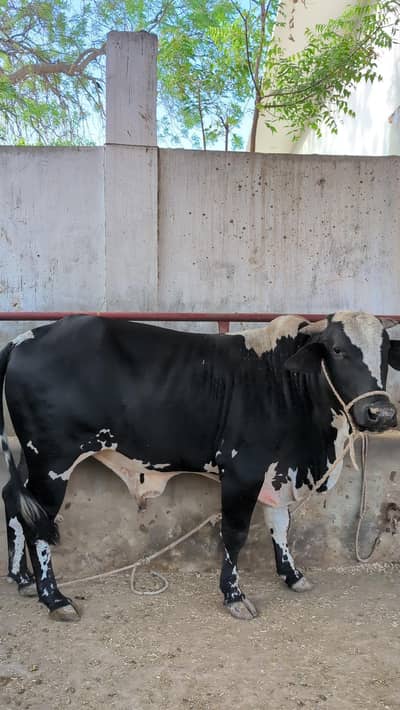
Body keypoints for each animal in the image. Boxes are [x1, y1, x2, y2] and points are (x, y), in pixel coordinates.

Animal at [1, 312, 400, 622]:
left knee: (14, 503)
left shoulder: (277, 473)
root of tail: (25, 338)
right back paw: (54, 598)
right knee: (38, 522)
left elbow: (281, 524)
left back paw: (22, 580)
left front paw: (291, 574)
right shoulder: (242, 471)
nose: (381, 413)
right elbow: (235, 533)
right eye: (338, 349)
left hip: (31, 461)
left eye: (384, 352)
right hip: (51, 462)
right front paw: (234, 596)